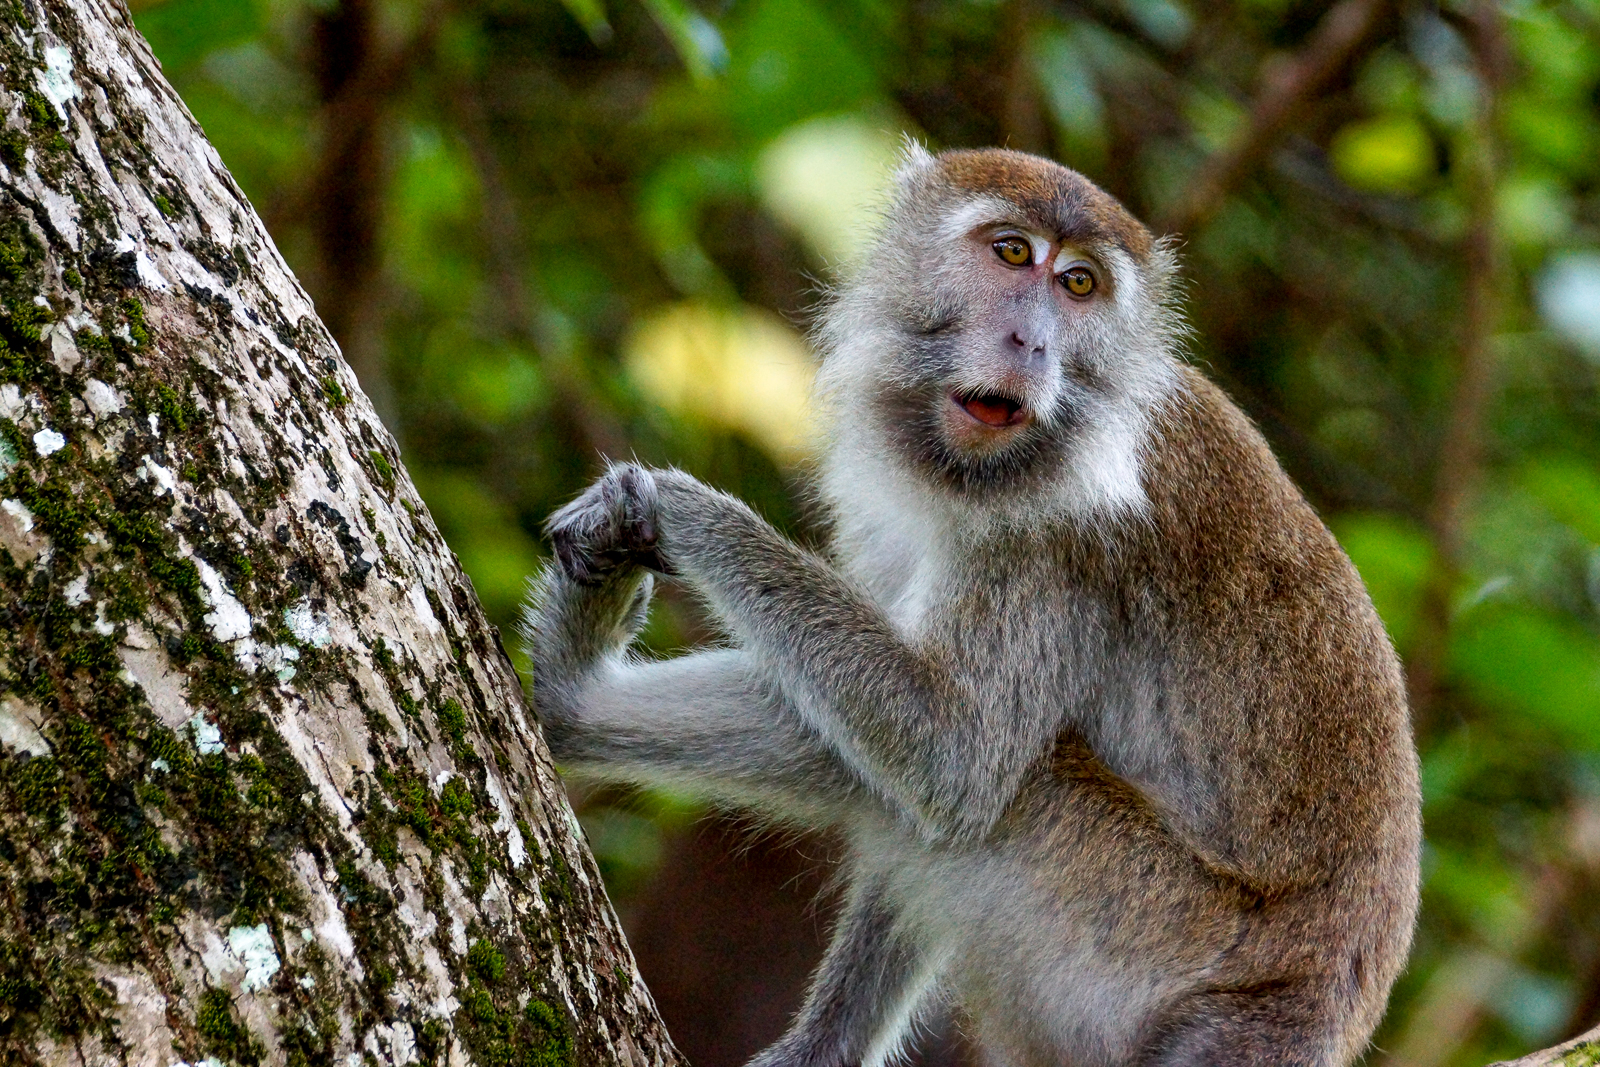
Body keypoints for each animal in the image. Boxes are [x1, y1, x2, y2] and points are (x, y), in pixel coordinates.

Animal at [521, 145, 1421, 1067]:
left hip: (1146, 934)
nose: (1032, 340)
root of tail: (1312, 1015)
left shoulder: (1057, 542)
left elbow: (958, 757)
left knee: (1015, 787)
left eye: (1081, 284)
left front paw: (680, 508)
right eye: (1013, 254)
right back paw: (568, 701)